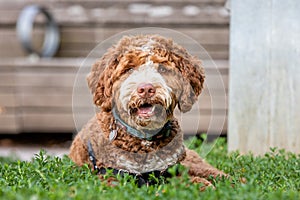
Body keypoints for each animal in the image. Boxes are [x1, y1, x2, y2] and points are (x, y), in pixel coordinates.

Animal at [68, 34, 227, 188]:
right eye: (130, 69)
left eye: (162, 69)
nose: (146, 89)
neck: (145, 141)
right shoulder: (112, 175)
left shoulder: (171, 171)